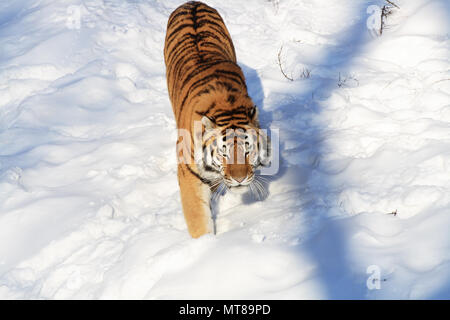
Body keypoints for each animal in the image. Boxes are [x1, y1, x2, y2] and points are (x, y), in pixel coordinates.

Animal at [165, 1, 270, 238]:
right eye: (224, 153)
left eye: (248, 151)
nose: (240, 179)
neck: (227, 107)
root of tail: (192, 3)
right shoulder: (189, 174)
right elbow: (198, 219)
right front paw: (206, 244)